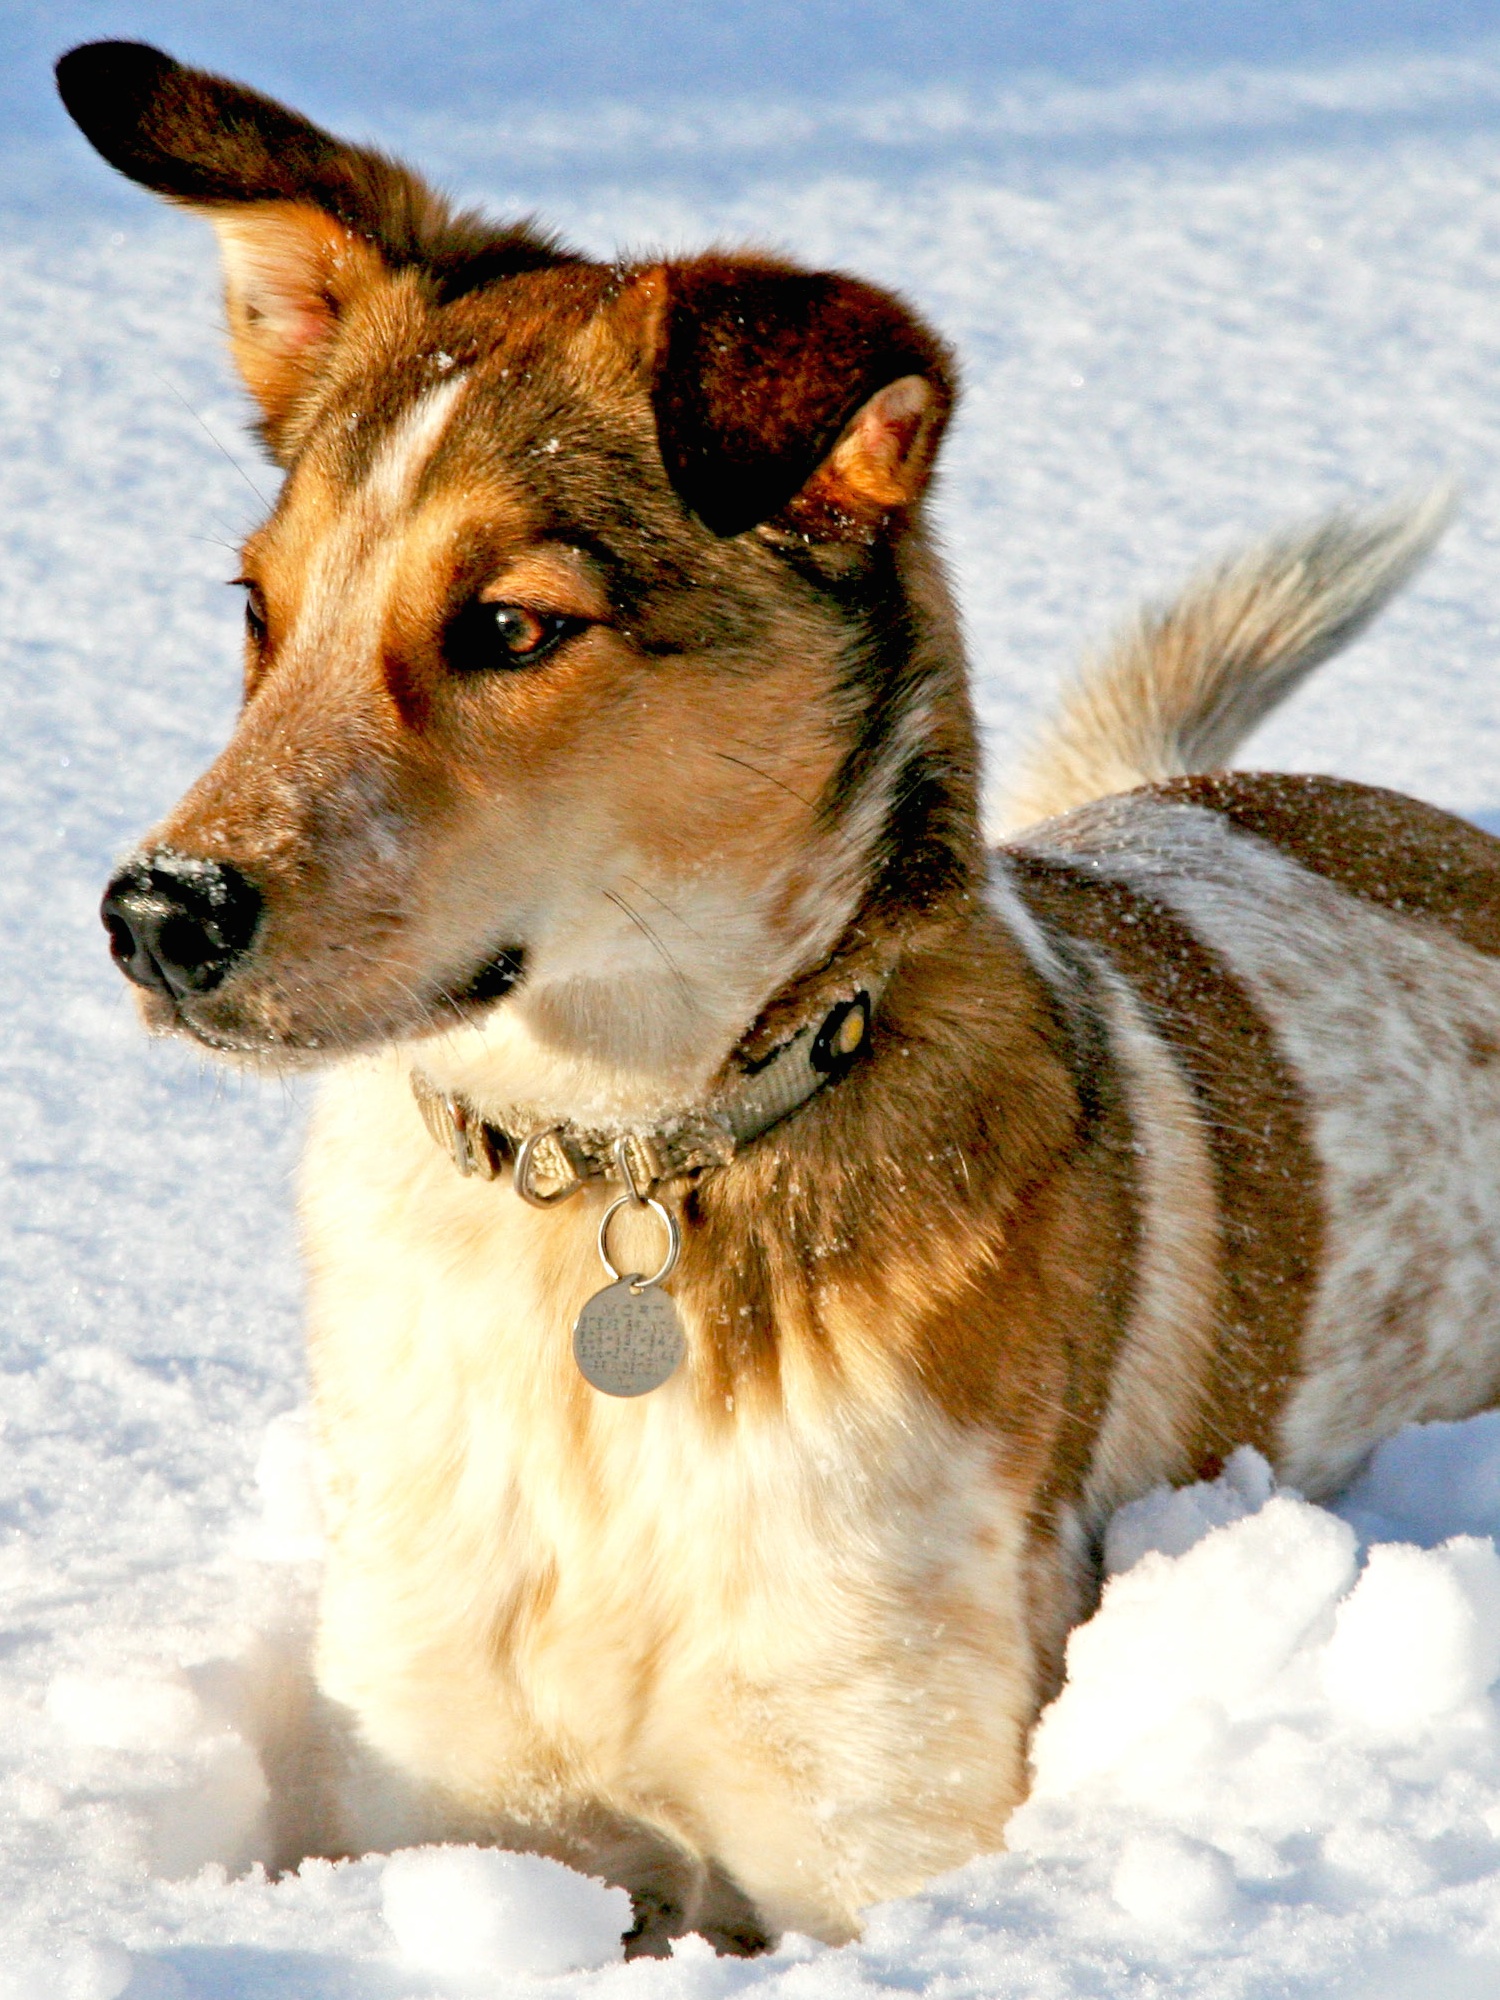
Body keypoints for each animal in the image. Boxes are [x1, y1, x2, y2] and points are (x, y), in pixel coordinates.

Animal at [58, 38, 1500, 1957]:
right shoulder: (440, 1803)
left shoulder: (880, 1827)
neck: (605, 1171)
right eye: (255, 608)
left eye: (512, 627)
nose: (157, 913)